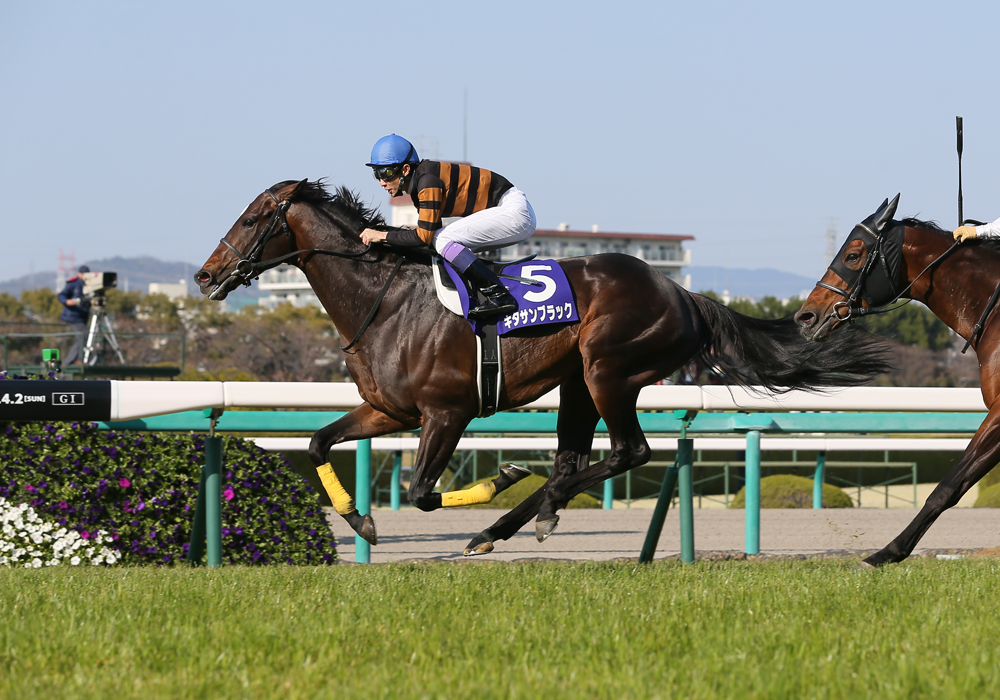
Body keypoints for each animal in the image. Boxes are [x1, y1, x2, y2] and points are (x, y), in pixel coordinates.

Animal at [195, 179, 891, 556]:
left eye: (252, 218)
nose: (205, 275)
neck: (387, 302)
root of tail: (682, 293)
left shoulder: (446, 412)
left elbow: (422, 493)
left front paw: (498, 478)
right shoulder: (389, 409)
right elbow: (319, 442)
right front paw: (361, 521)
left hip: (608, 369)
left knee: (627, 453)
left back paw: (517, 513)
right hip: (579, 382)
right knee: (575, 459)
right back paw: (524, 518)